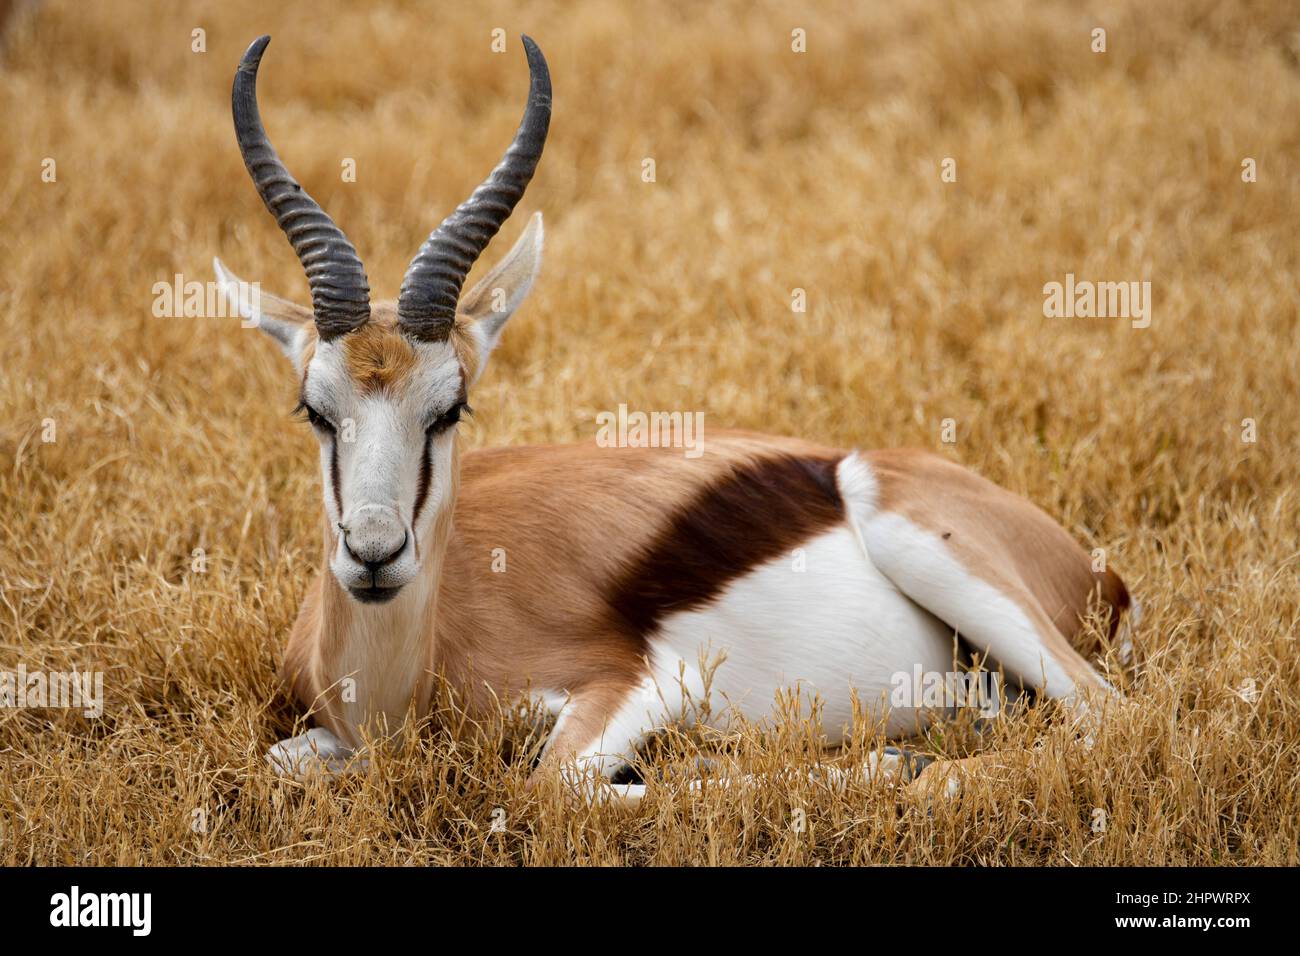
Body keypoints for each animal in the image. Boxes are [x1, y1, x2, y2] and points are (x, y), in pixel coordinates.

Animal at [218, 34, 1133, 803]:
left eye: (451, 407)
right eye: (314, 409)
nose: (374, 555)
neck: (396, 684)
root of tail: (1096, 572)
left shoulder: (639, 684)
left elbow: (550, 790)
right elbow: (280, 761)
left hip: (939, 559)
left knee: (1105, 718)